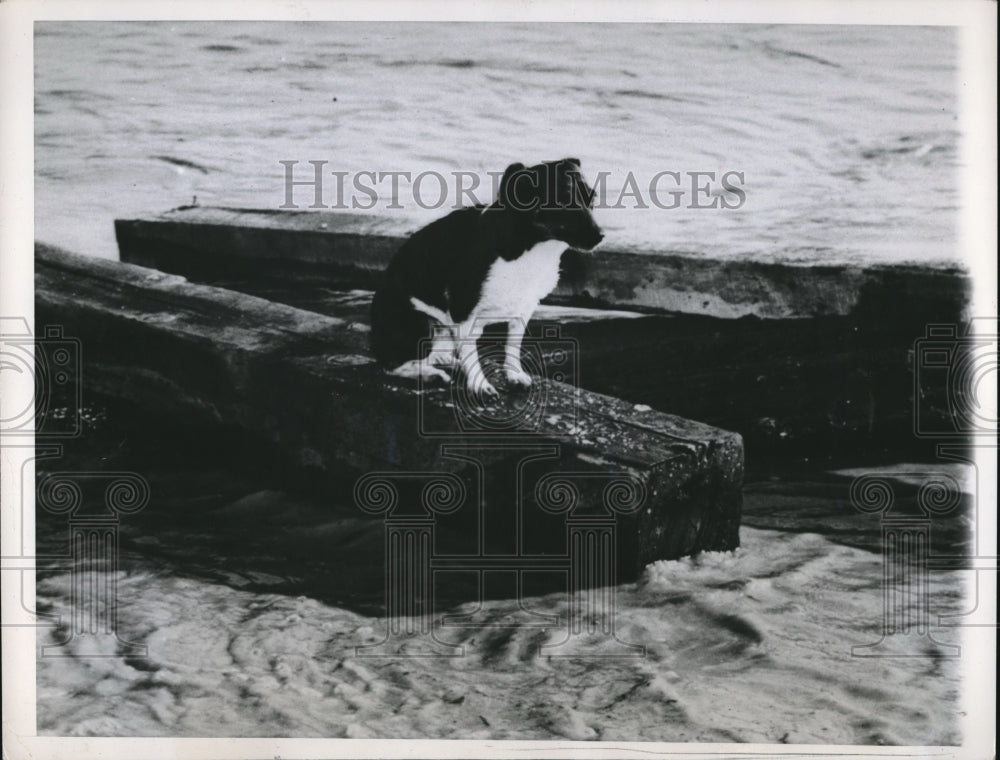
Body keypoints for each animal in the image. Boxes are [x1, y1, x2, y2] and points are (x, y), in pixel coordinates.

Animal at [370, 158, 596, 400]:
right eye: (562, 201)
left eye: (592, 198)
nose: (600, 235)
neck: (534, 249)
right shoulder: (463, 311)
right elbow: (472, 353)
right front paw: (480, 385)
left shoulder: (523, 310)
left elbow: (512, 346)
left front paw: (513, 375)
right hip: (423, 324)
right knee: (393, 365)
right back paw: (432, 374)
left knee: (436, 354)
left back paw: (448, 363)